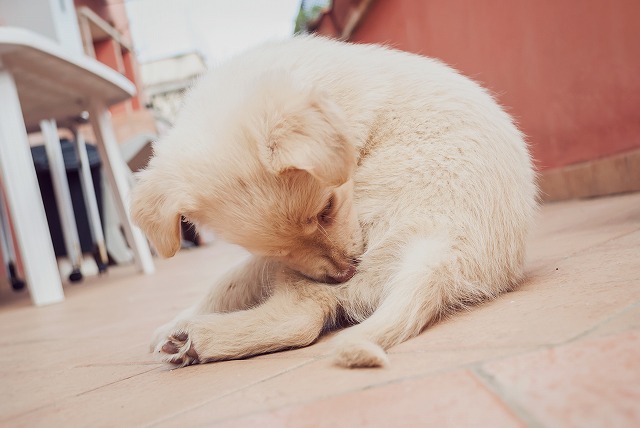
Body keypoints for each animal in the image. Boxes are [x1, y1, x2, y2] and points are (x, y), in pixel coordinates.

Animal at [132, 36, 536, 368]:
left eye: (326, 208)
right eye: (279, 247)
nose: (343, 273)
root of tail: (444, 253)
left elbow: (234, 284)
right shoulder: (277, 259)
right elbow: (233, 279)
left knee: (302, 316)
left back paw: (197, 337)